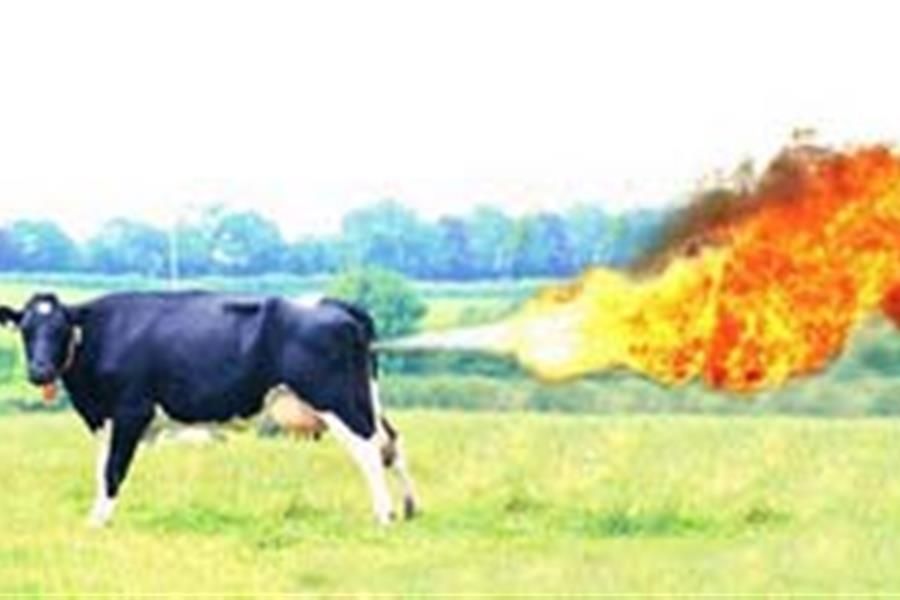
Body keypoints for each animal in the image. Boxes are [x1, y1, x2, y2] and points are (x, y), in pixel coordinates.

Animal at [0, 291, 417, 526]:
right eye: (26, 330)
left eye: (59, 329)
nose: (39, 370)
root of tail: (336, 304)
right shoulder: (105, 420)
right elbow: (101, 470)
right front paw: (96, 515)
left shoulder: (131, 412)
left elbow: (114, 470)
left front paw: (98, 522)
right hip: (364, 397)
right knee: (390, 442)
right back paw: (411, 508)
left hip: (337, 399)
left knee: (368, 449)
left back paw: (384, 514)